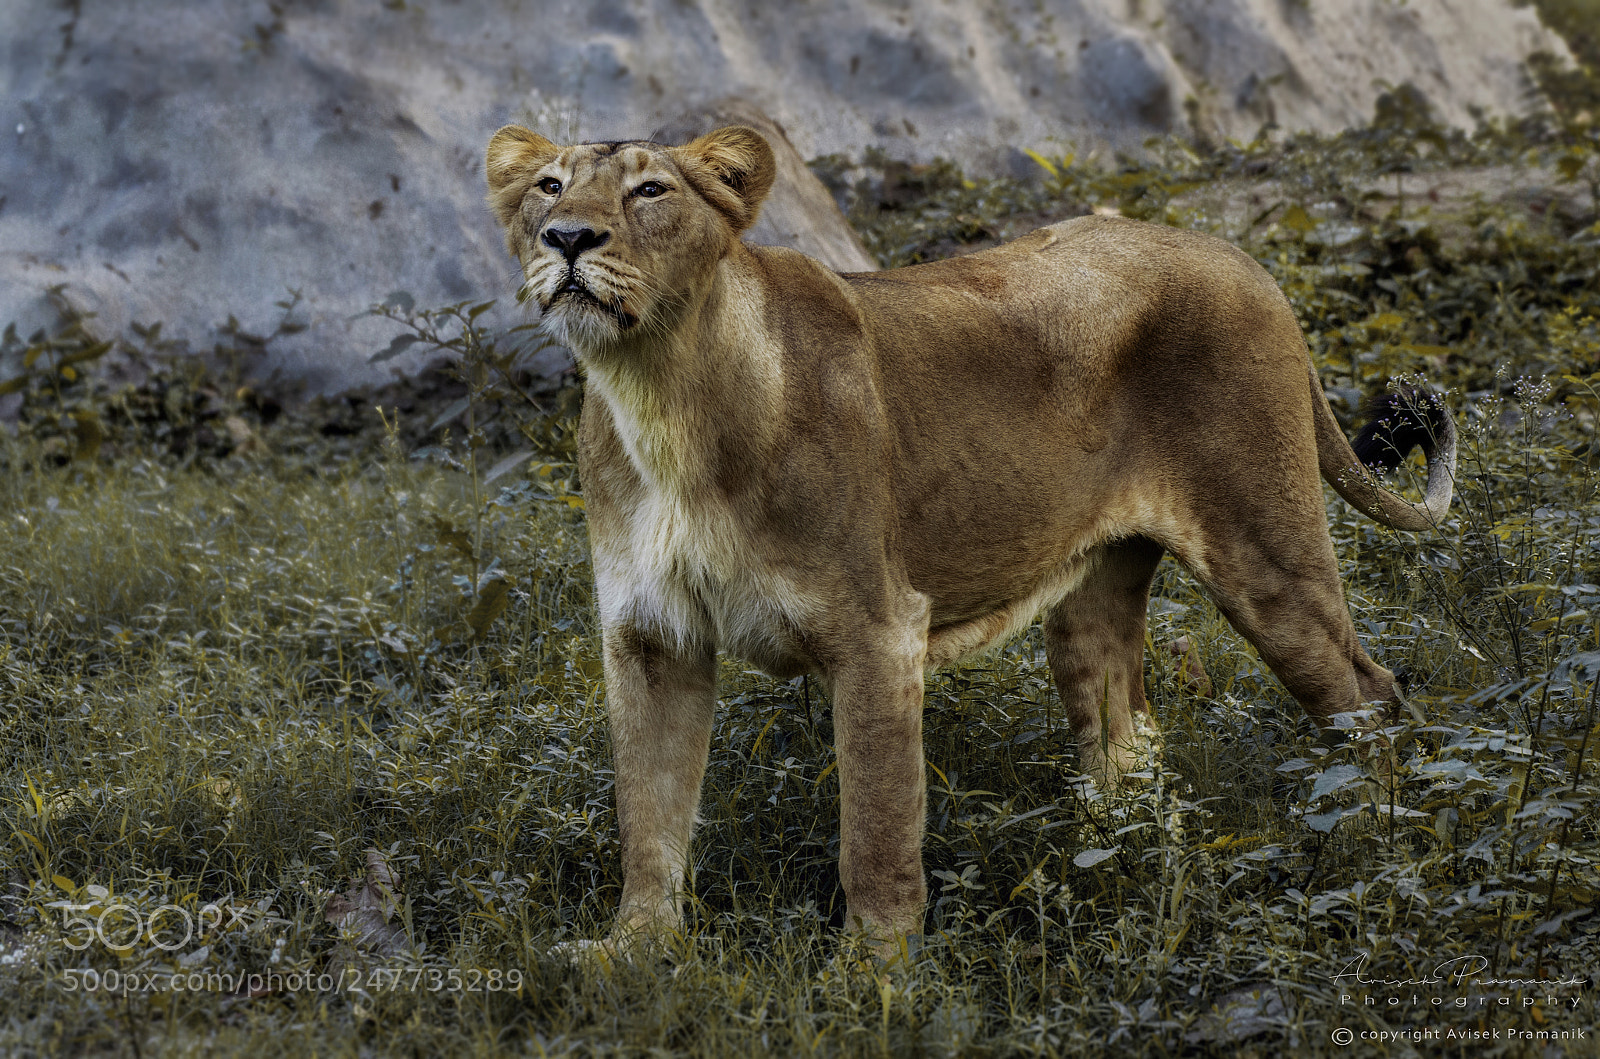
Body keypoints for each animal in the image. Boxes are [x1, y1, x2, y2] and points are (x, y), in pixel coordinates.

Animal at [484, 123, 1455, 956]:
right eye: (549, 186)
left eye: (650, 189)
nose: (568, 238)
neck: (658, 389)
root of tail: (1236, 253)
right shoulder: (650, 638)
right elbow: (647, 817)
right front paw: (634, 953)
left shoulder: (877, 629)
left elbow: (874, 828)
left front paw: (871, 976)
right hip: (1093, 598)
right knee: (1127, 735)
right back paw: (1115, 868)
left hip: (1264, 554)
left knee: (1371, 694)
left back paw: (1374, 856)